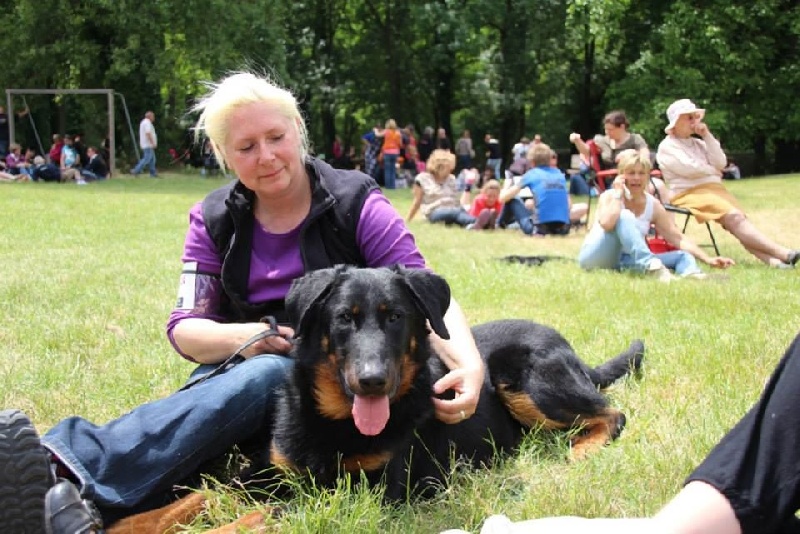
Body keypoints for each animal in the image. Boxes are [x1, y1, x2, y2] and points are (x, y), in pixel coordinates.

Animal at [108, 265, 643, 533]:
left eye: (396, 318)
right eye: (343, 319)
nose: (372, 382)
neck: (334, 420)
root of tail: (569, 349)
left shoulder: (361, 492)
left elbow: (262, 514)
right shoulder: (266, 471)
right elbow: (200, 495)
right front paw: (128, 523)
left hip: (527, 381)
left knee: (612, 413)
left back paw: (580, 449)